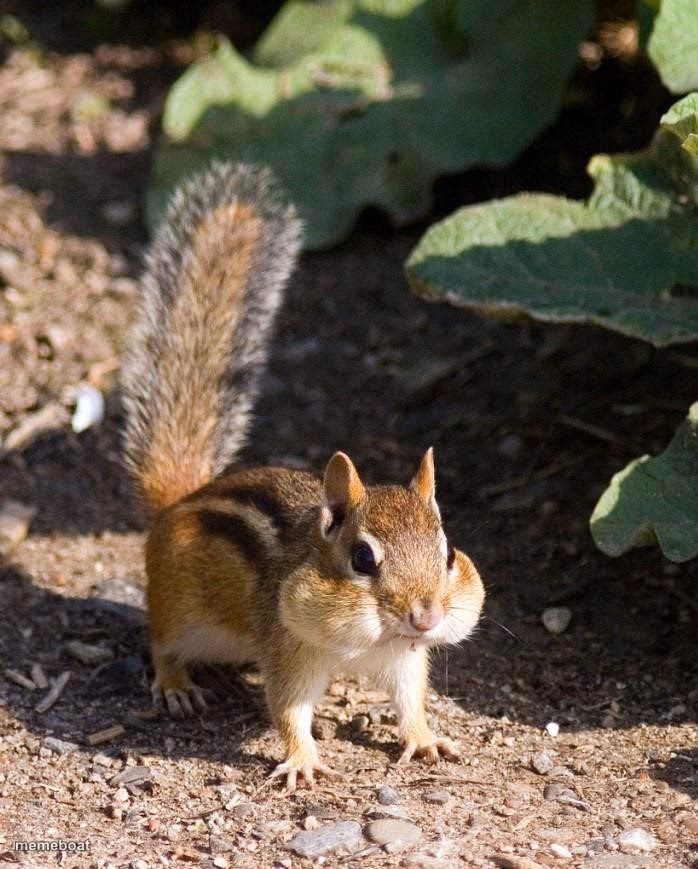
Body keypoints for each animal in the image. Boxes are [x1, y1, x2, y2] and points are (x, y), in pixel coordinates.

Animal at [121, 160, 485, 791]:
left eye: (448, 553)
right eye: (362, 558)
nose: (427, 616)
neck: (368, 641)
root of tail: (179, 501)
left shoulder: (403, 659)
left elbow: (411, 698)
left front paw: (423, 738)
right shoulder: (288, 647)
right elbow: (288, 707)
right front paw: (303, 758)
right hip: (176, 609)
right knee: (161, 642)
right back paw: (176, 685)